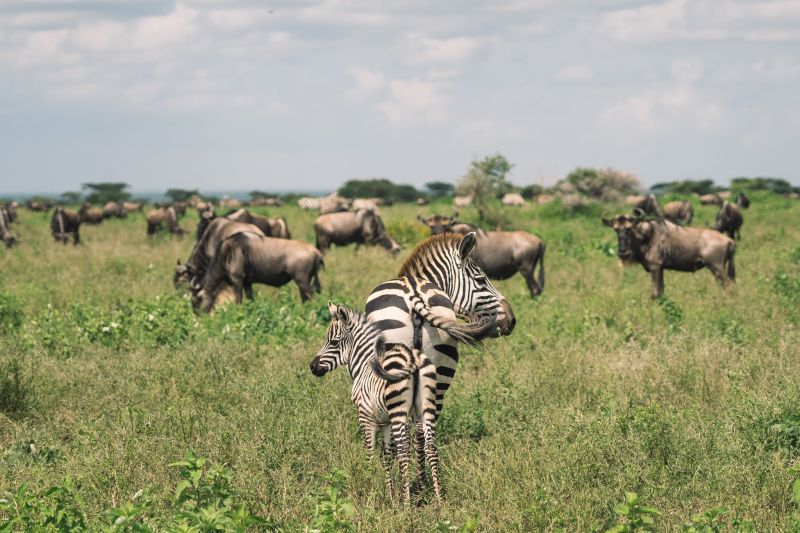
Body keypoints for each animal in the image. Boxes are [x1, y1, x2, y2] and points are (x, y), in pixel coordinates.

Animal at [310, 304, 440, 502]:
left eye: (333, 342)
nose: (312, 367)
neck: (364, 365)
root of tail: (412, 357)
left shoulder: (365, 416)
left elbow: (369, 452)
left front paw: (368, 490)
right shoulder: (384, 422)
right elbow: (386, 456)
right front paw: (390, 494)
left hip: (398, 411)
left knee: (404, 451)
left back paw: (406, 503)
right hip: (426, 408)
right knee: (431, 447)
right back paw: (440, 500)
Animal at [366, 231, 516, 484]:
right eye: (481, 281)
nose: (512, 321)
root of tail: (415, 296)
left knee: (407, 430)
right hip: (440, 375)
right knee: (424, 430)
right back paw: (423, 483)